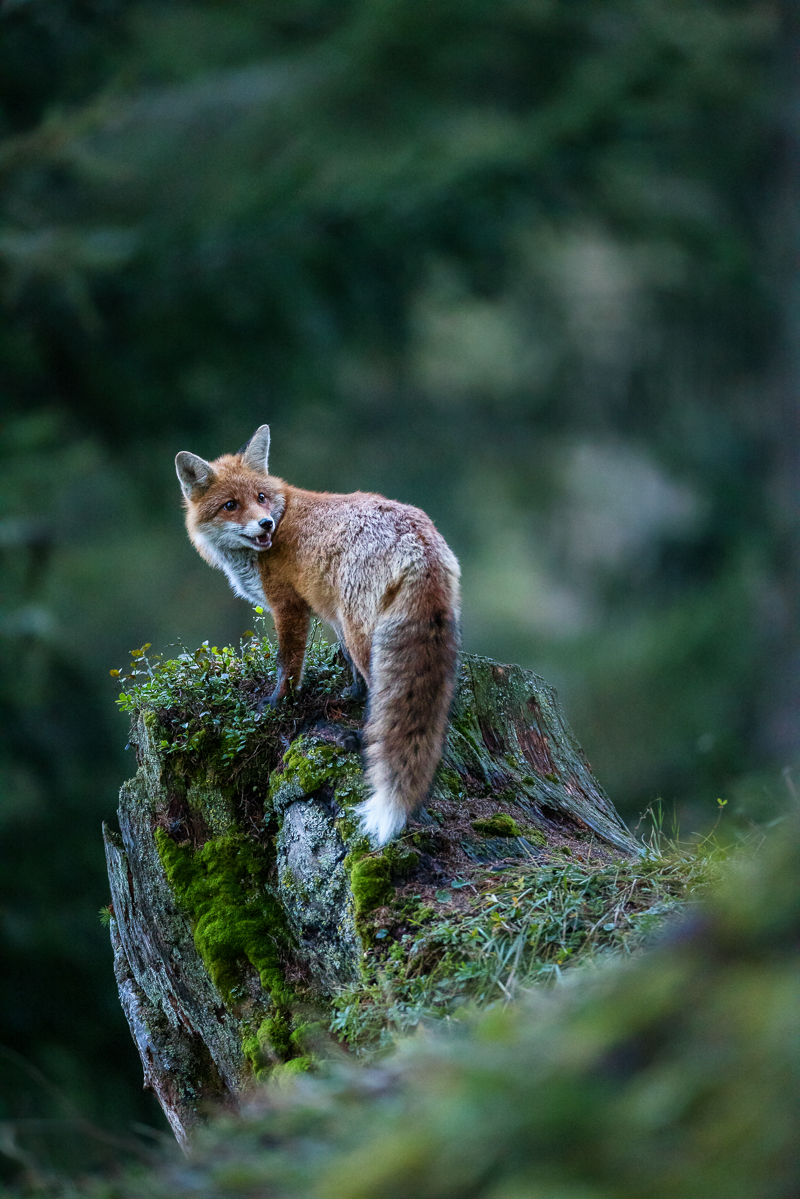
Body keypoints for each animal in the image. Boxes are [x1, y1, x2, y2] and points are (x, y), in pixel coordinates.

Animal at [177, 426, 460, 848]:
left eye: (261, 498)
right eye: (230, 505)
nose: (265, 525)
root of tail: (418, 539)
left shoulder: (289, 608)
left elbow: (287, 665)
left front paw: (277, 705)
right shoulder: (331, 614)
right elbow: (348, 671)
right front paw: (349, 695)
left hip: (364, 631)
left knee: (383, 692)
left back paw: (360, 739)